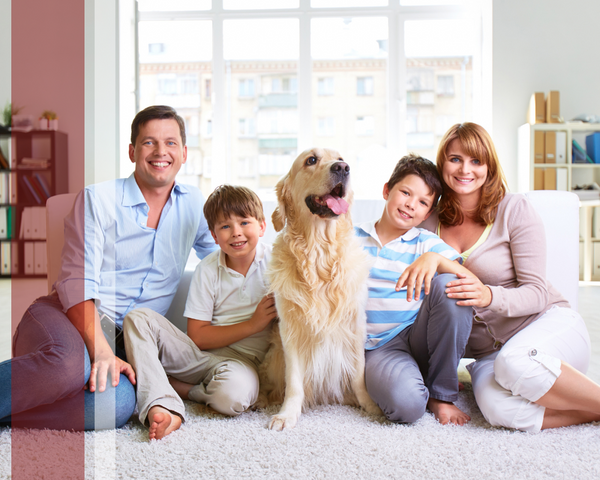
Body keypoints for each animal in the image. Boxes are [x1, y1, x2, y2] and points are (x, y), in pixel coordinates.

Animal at [260, 147, 382, 432]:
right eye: (311, 160)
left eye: (341, 157)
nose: (343, 168)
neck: (319, 255)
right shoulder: (290, 330)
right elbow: (294, 382)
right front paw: (287, 414)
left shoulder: (355, 325)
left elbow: (358, 374)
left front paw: (370, 405)